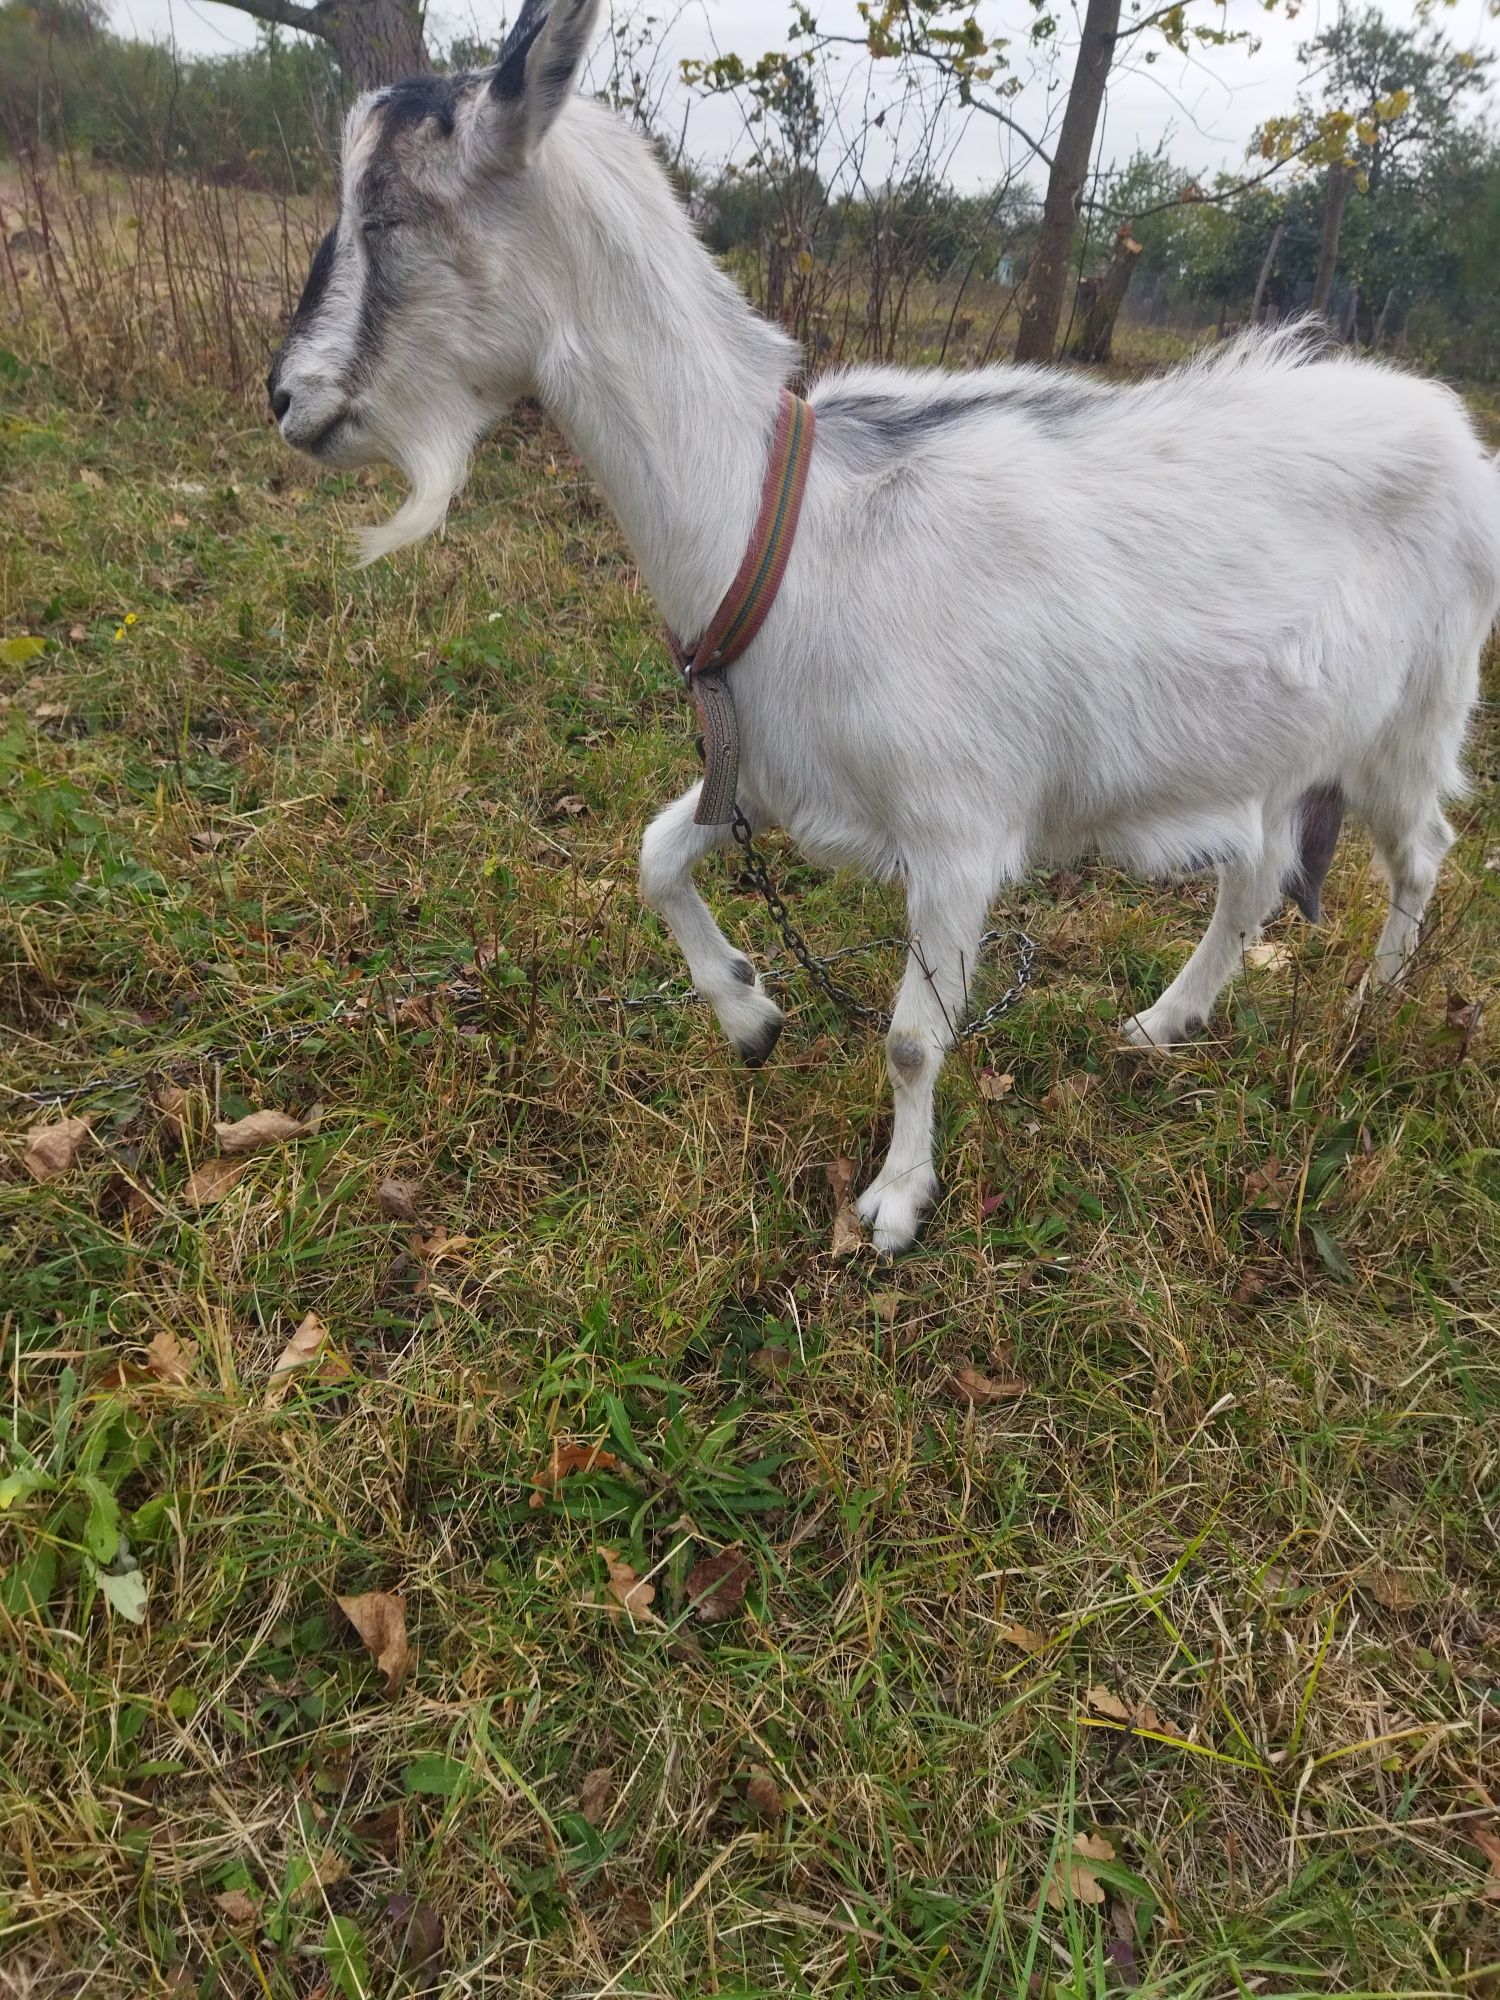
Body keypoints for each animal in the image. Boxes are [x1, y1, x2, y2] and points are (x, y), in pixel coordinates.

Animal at [268, 0, 1500, 1248]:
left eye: (386, 215)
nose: (287, 399)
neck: (786, 527)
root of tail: (1454, 432)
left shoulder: (960, 830)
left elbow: (912, 1038)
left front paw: (896, 1201)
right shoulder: (770, 769)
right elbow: (654, 856)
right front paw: (749, 1012)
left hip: (1412, 718)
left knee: (1421, 854)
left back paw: (1369, 1004)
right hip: (1265, 741)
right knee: (1253, 877)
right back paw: (1159, 1026)